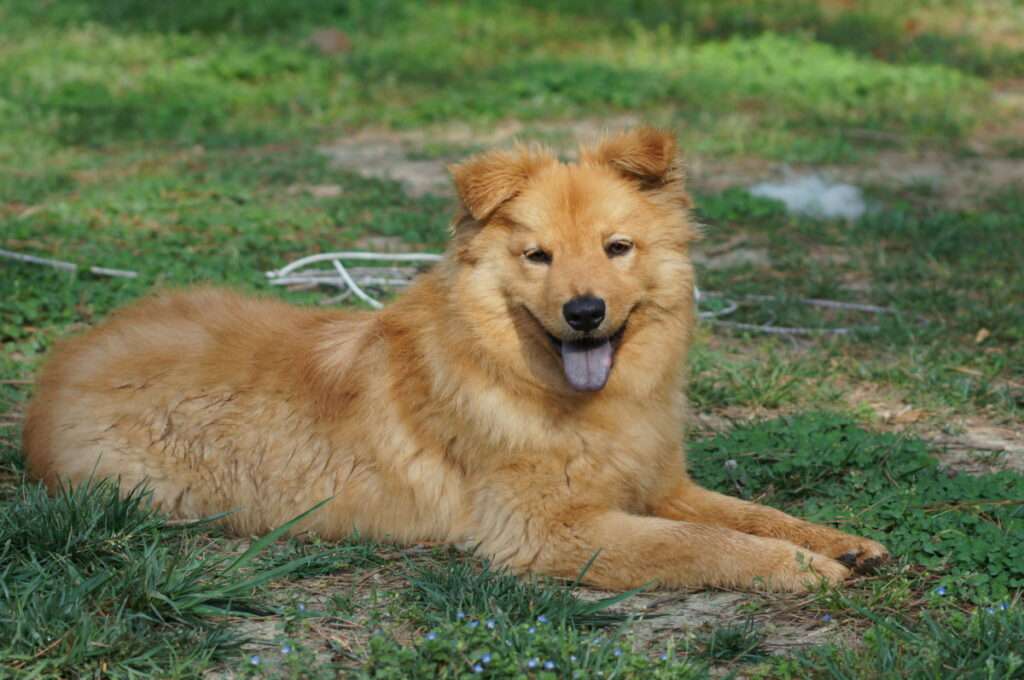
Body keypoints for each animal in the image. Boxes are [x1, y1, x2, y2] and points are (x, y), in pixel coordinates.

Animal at [24, 127, 888, 589]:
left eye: (617, 248)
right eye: (538, 256)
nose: (585, 312)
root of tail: (61, 367)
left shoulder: (657, 484)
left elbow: (743, 513)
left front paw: (837, 540)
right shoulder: (548, 531)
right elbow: (700, 544)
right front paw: (800, 568)